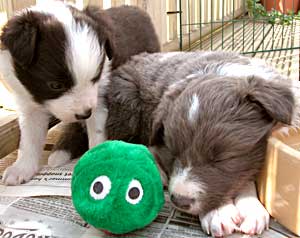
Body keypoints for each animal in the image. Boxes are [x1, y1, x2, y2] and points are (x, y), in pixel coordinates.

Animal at [0, 0, 159, 186]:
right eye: (55, 85)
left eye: (96, 76)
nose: (84, 114)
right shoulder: (29, 101)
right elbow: (29, 138)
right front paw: (22, 168)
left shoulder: (99, 98)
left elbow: (97, 134)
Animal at [100, 51, 298, 236]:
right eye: (173, 152)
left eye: (220, 160)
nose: (180, 200)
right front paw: (218, 213)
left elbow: (243, 177)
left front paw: (250, 207)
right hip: (127, 105)